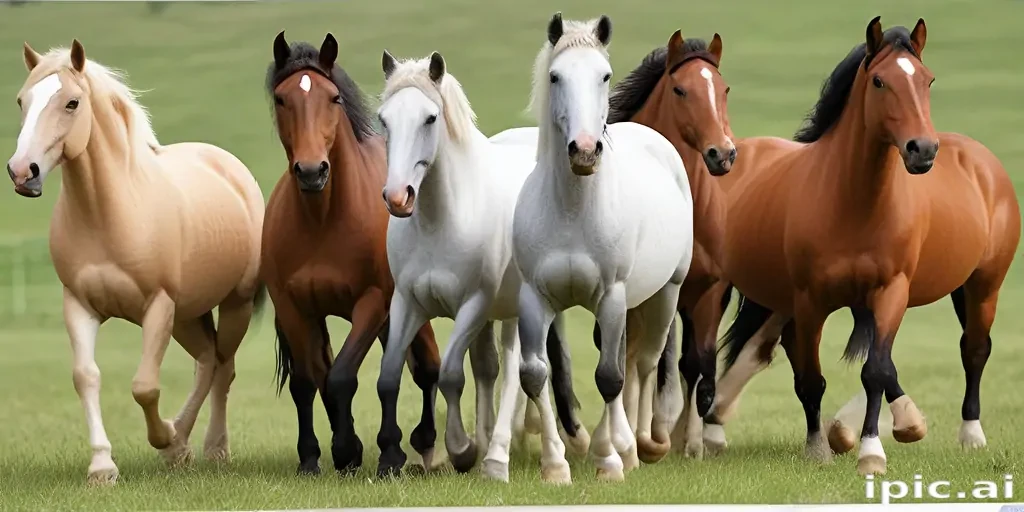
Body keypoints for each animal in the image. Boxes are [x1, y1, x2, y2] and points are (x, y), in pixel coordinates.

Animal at [6, 41, 266, 485]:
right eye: (23, 101)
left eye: (72, 102)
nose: (23, 172)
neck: (109, 213)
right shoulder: (79, 305)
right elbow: (86, 376)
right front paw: (102, 466)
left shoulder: (158, 306)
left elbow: (144, 385)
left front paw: (162, 437)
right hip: (187, 314)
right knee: (206, 361)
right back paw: (181, 444)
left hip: (235, 304)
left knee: (223, 367)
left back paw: (211, 448)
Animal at [262, 32, 443, 476]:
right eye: (281, 99)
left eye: (334, 98)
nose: (313, 171)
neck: (323, 221)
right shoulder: (294, 308)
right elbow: (310, 380)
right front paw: (313, 456)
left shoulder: (372, 302)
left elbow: (343, 375)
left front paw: (352, 450)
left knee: (427, 369)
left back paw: (416, 444)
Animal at [373, 50, 575, 480]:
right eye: (384, 119)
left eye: (430, 118)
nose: (398, 197)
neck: (442, 220)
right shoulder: (407, 303)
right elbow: (389, 376)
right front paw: (388, 460)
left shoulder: (474, 304)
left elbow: (450, 374)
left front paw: (462, 450)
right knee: (492, 369)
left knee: (516, 371)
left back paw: (497, 456)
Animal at [513, 13, 694, 483]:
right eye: (555, 76)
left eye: (605, 75)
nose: (584, 150)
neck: (572, 211)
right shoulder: (534, 299)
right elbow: (534, 374)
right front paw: (555, 464)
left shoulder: (611, 296)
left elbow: (610, 377)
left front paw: (609, 461)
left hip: (667, 291)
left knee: (645, 363)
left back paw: (640, 444)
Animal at [716, 17, 1020, 475]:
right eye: (879, 81)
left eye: (928, 79)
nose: (922, 149)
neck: (855, 204)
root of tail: (981, 160)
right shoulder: (810, 300)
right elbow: (813, 377)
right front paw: (820, 446)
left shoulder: (891, 290)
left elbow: (876, 370)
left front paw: (872, 451)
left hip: (984, 284)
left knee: (974, 349)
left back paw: (971, 434)